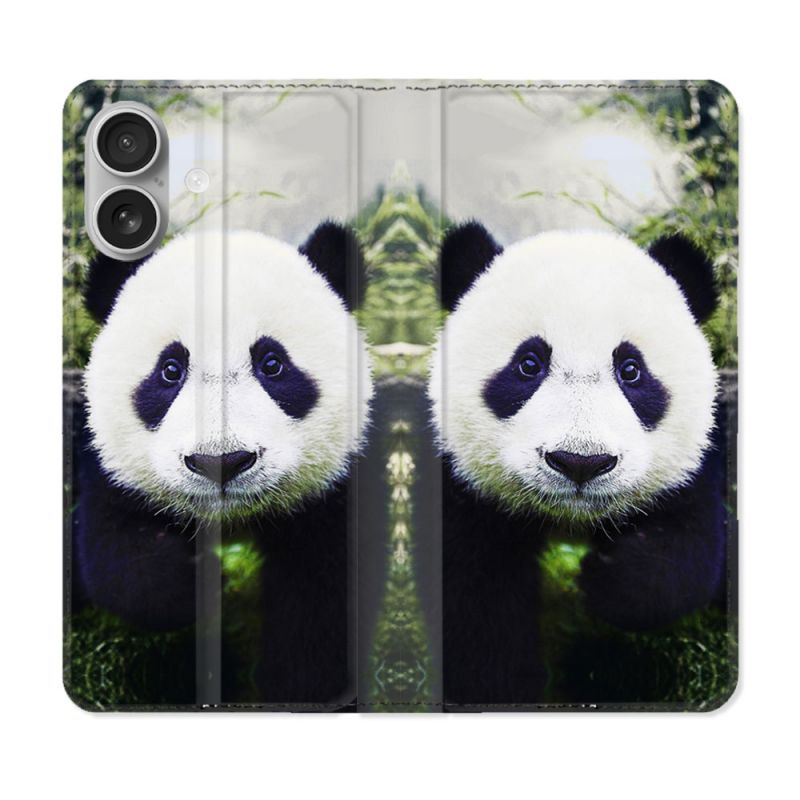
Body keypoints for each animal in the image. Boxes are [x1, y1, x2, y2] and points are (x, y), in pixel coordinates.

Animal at [74, 222, 372, 707]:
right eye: (170, 370)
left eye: (272, 363)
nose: (221, 463)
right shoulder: (111, 469)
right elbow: (118, 557)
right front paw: (195, 584)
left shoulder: (334, 492)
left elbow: (321, 604)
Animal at [428, 223, 727, 707]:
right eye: (528, 364)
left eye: (631, 369)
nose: (580, 463)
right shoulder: (462, 488)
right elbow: (474, 605)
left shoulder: (691, 465)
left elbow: (687, 551)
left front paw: (609, 578)